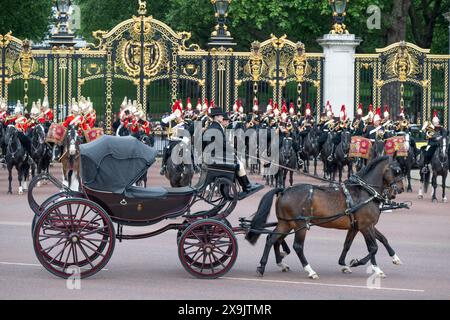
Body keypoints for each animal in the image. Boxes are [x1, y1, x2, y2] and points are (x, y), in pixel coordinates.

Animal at [246, 156, 404, 278]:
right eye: (397, 171)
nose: (401, 189)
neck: (365, 192)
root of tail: (284, 190)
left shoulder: (358, 226)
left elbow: (369, 241)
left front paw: (393, 258)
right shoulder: (365, 226)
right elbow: (373, 247)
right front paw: (360, 263)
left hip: (286, 224)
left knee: (271, 239)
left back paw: (264, 266)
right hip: (300, 225)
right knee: (297, 246)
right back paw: (310, 270)